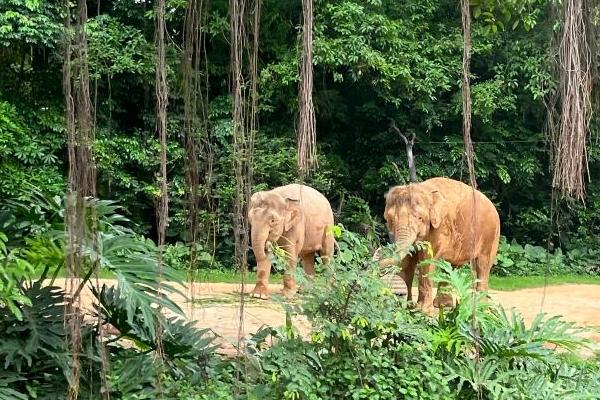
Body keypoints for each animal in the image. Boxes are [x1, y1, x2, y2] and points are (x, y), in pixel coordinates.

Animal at [380, 177, 502, 310]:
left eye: (420, 218)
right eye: (390, 220)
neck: (423, 189)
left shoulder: (439, 227)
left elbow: (427, 260)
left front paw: (423, 309)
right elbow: (407, 262)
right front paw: (409, 306)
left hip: (490, 235)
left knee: (482, 266)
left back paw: (480, 307)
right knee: (450, 267)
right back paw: (443, 305)